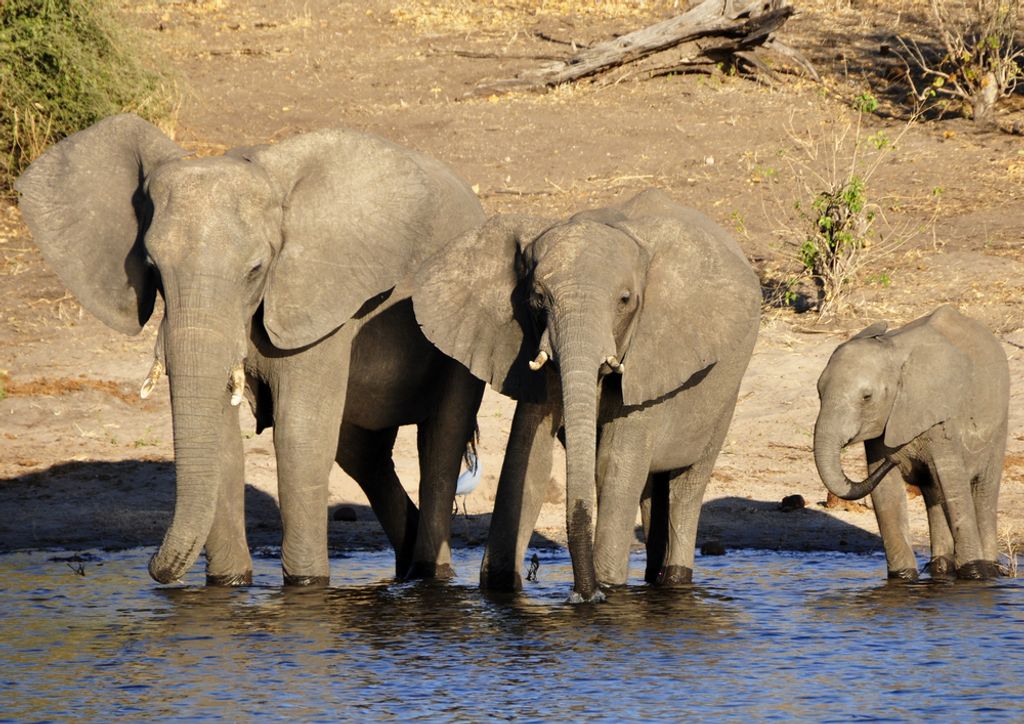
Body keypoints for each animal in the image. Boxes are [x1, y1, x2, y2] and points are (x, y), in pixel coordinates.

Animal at [15, 114, 485, 586]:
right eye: (153, 269)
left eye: (256, 270)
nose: (154, 569)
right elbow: (223, 440)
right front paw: (229, 585)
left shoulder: (320, 302)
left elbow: (300, 436)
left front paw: (307, 586)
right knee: (363, 454)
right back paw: (407, 571)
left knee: (440, 446)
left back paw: (431, 576)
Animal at [408, 189, 762, 602]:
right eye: (537, 298)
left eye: (625, 300)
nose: (584, 594)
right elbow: (528, 458)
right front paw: (501, 588)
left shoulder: (650, 354)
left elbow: (612, 464)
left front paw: (607, 590)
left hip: (726, 394)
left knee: (685, 489)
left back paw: (675, 578)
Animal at [813, 305, 1010, 580]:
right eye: (819, 393)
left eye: (866, 397)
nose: (894, 460)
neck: (894, 354)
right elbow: (886, 493)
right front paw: (903, 578)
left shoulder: (941, 421)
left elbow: (954, 485)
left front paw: (975, 575)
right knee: (934, 491)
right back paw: (940, 569)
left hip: (999, 421)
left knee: (983, 490)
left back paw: (991, 570)